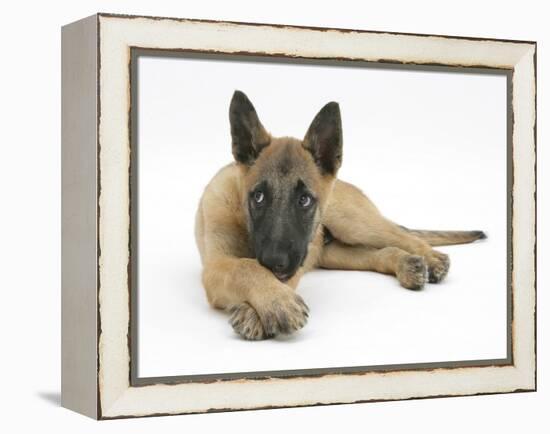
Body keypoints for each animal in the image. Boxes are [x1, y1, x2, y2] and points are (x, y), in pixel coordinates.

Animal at [195, 90, 488, 340]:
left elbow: (251, 268)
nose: (275, 261)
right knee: (379, 254)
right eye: (258, 197)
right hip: (335, 253)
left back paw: (432, 258)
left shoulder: (294, 262)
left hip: (353, 223)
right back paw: (406, 265)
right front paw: (273, 301)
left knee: (403, 236)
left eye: (304, 200)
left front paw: (263, 308)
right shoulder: (216, 266)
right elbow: (246, 267)